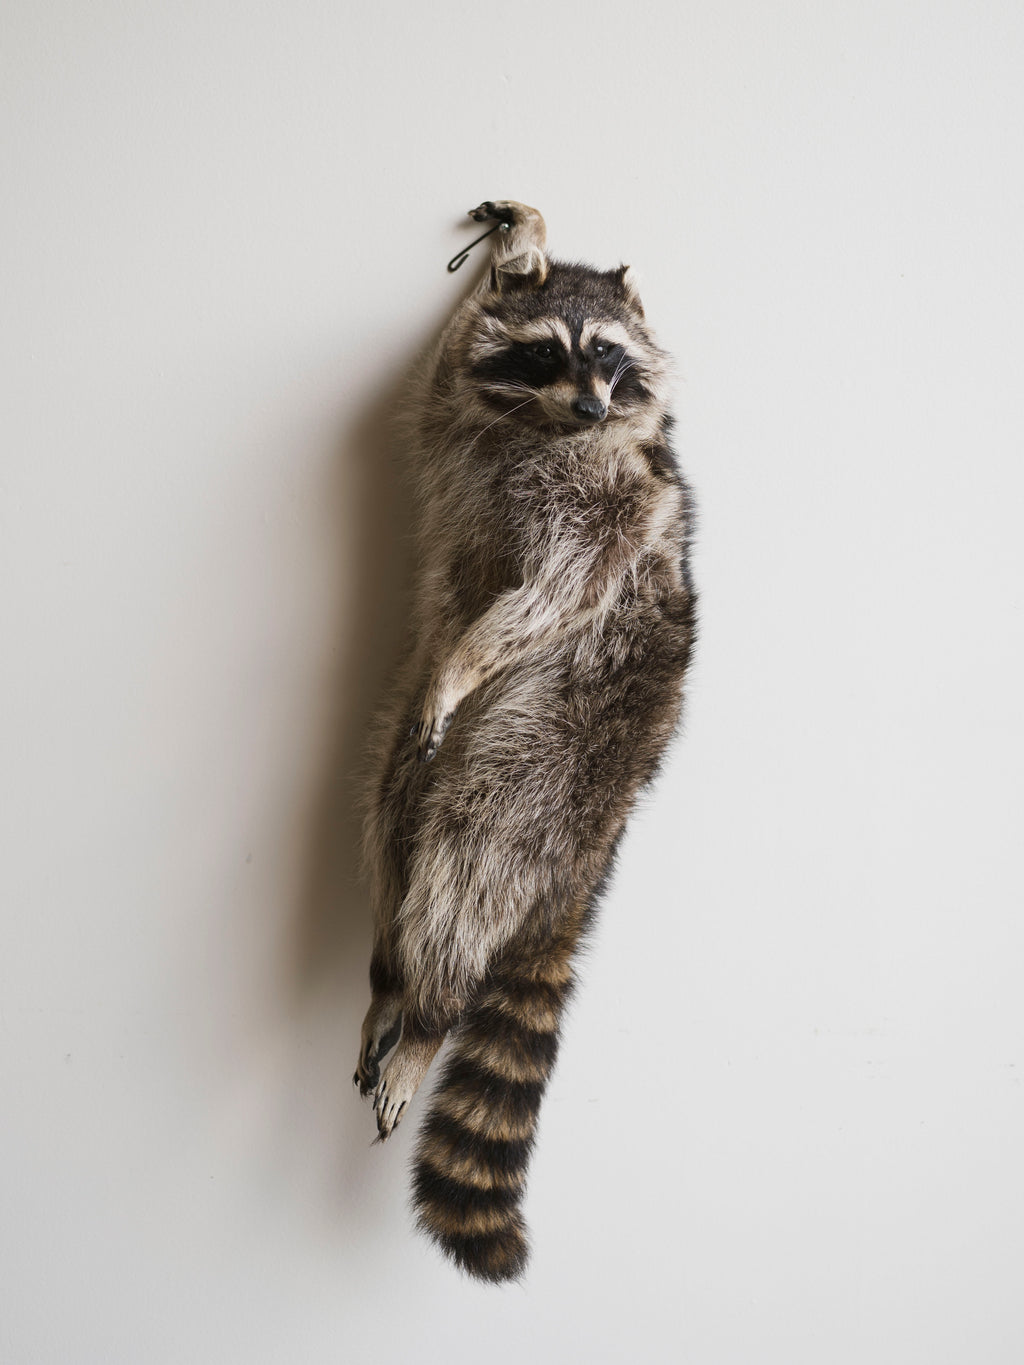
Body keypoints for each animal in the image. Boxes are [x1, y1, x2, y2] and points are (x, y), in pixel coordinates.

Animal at [354, 199, 696, 1282]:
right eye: (549, 353)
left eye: (611, 359)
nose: (589, 409)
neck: (544, 426)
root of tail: (595, 837)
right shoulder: (456, 421)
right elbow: (437, 369)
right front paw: (519, 246)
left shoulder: (613, 511)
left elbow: (549, 593)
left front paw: (469, 652)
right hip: (431, 751)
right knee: (394, 816)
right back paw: (389, 979)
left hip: (557, 749)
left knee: (468, 856)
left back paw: (429, 1012)